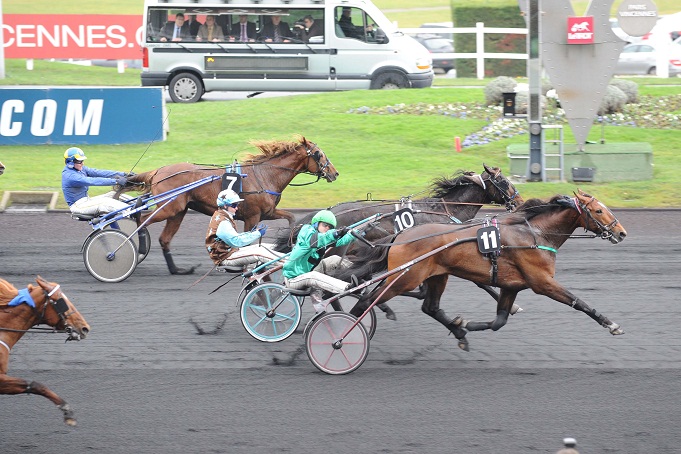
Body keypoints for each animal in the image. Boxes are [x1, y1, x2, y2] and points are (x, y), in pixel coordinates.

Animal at [121, 136, 338, 274]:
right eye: (318, 154)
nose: (334, 173)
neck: (265, 175)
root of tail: (158, 171)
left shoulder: (267, 212)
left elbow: (291, 218)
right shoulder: (252, 216)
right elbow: (248, 241)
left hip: (178, 212)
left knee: (164, 239)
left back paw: (177, 270)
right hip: (168, 208)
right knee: (140, 217)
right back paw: (138, 248)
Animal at [340, 190, 628, 352]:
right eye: (598, 210)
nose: (621, 233)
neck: (534, 235)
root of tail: (401, 234)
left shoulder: (511, 286)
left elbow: (499, 321)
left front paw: (465, 324)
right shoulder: (542, 282)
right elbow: (579, 302)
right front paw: (611, 324)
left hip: (435, 275)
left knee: (429, 307)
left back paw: (459, 333)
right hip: (406, 277)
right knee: (367, 300)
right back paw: (347, 333)